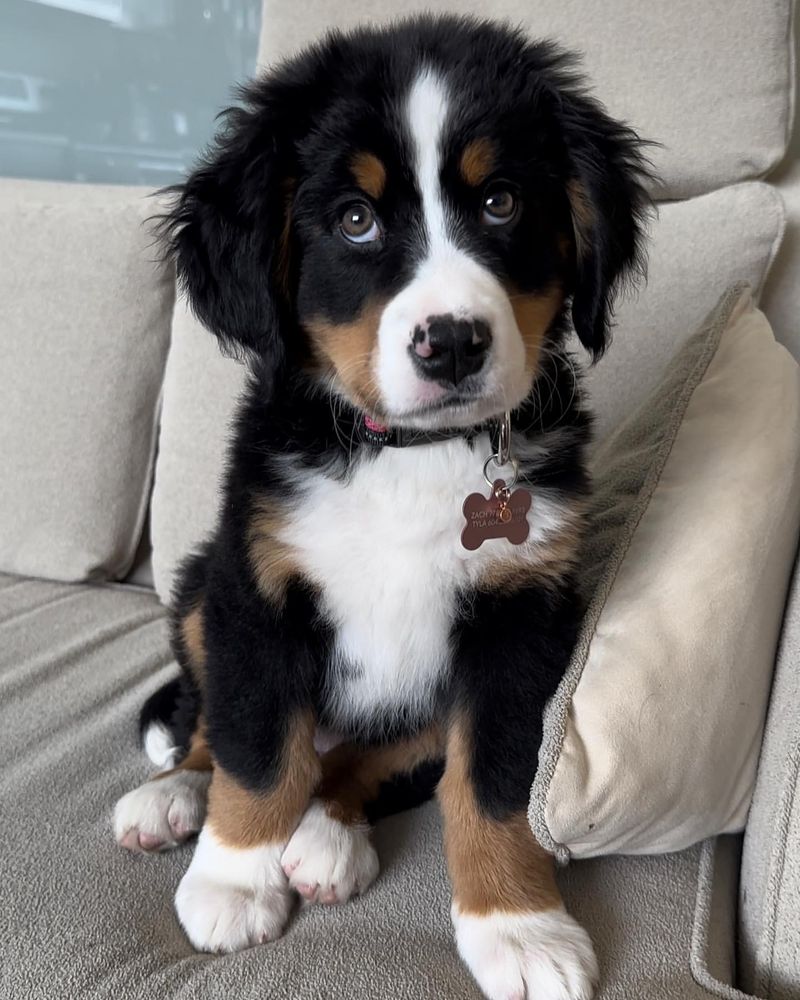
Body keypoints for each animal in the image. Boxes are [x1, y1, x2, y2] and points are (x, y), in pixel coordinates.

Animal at [114, 15, 648, 1000]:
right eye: (355, 220)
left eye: (502, 203)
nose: (452, 343)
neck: (411, 452)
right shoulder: (257, 590)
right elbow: (257, 748)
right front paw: (233, 879)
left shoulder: (522, 621)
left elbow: (495, 782)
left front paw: (518, 927)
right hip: (203, 585)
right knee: (221, 725)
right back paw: (177, 798)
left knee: (365, 760)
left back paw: (328, 835)